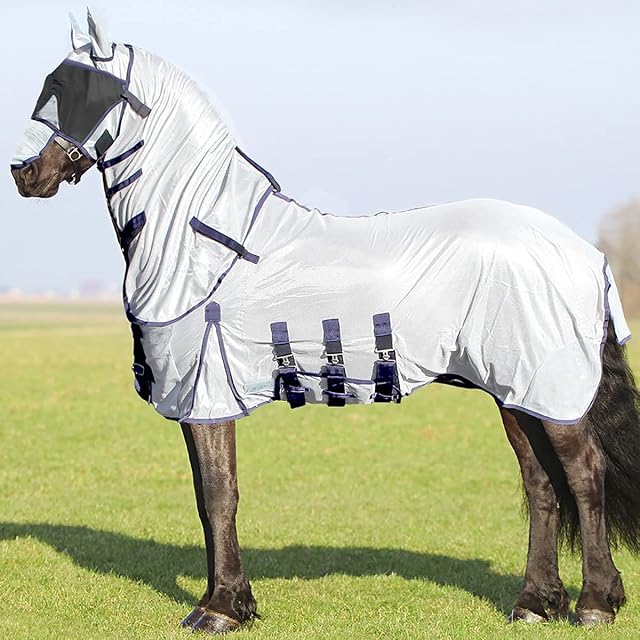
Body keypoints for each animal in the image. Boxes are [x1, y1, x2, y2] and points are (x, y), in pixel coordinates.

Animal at [10, 11, 640, 634]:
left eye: (76, 91)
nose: (25, 173)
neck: (204, 243)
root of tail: (584, 252)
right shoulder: (198, 400)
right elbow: (204, 498)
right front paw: (230, 601)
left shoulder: (207, 393)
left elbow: (218, 494)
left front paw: (220, 609)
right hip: (516, 391)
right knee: (541, 484)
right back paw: (536, 602)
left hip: (547, 385)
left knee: (584, 473)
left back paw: (594, 603)